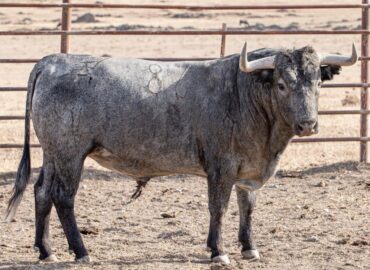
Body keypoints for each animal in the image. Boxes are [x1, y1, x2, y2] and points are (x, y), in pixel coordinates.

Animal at [5, 43, 356, 264]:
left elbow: (247, 208)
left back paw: (46, 250)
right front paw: (218, 252)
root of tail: (52, 61)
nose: (308, 124)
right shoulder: (221, 167)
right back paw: (81, 251)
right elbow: (219, 208)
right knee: (63, 197)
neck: (244, 93)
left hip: (52, 153)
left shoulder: (248, 170)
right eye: (282, 84)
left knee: (41, 192)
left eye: (318, 83)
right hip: (70, 153)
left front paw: (249, 248)